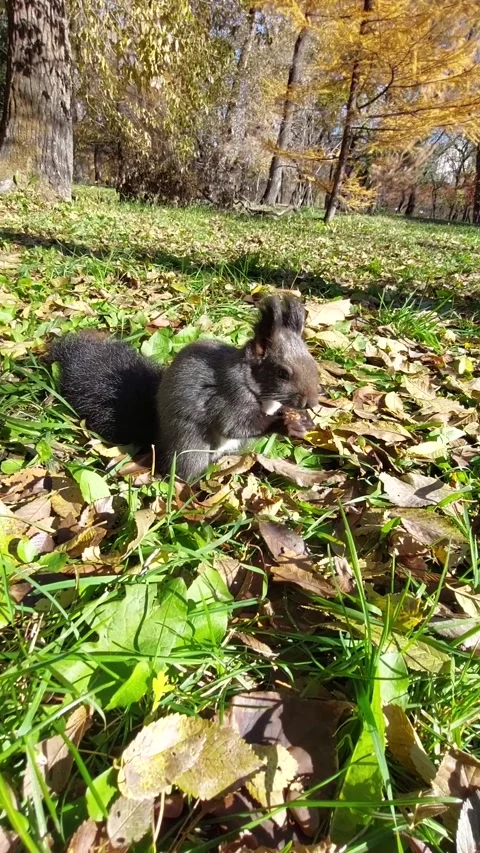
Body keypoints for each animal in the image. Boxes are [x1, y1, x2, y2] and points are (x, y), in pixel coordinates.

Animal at [49, 295, 319, 481]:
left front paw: (301, 420)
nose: (313, 403)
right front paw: (283, 424)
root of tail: (158, 439)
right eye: (282, 373)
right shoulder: (229, 395)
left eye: (313, 362)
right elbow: (235, 424)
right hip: (191, 446)